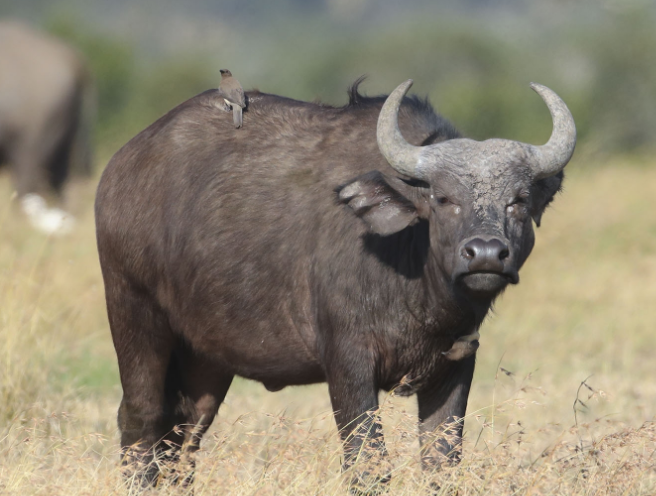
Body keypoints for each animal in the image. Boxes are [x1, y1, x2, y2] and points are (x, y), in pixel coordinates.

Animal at [93, 75, 576, 490]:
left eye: (518, 200)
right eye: (443, 199)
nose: (486, 254)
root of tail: (120, 169)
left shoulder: (455, 365)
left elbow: (442, 464)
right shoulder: (347, 365)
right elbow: (368, 463)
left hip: (205, 357)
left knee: (184, 433)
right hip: (134, 315)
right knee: (141, 419)